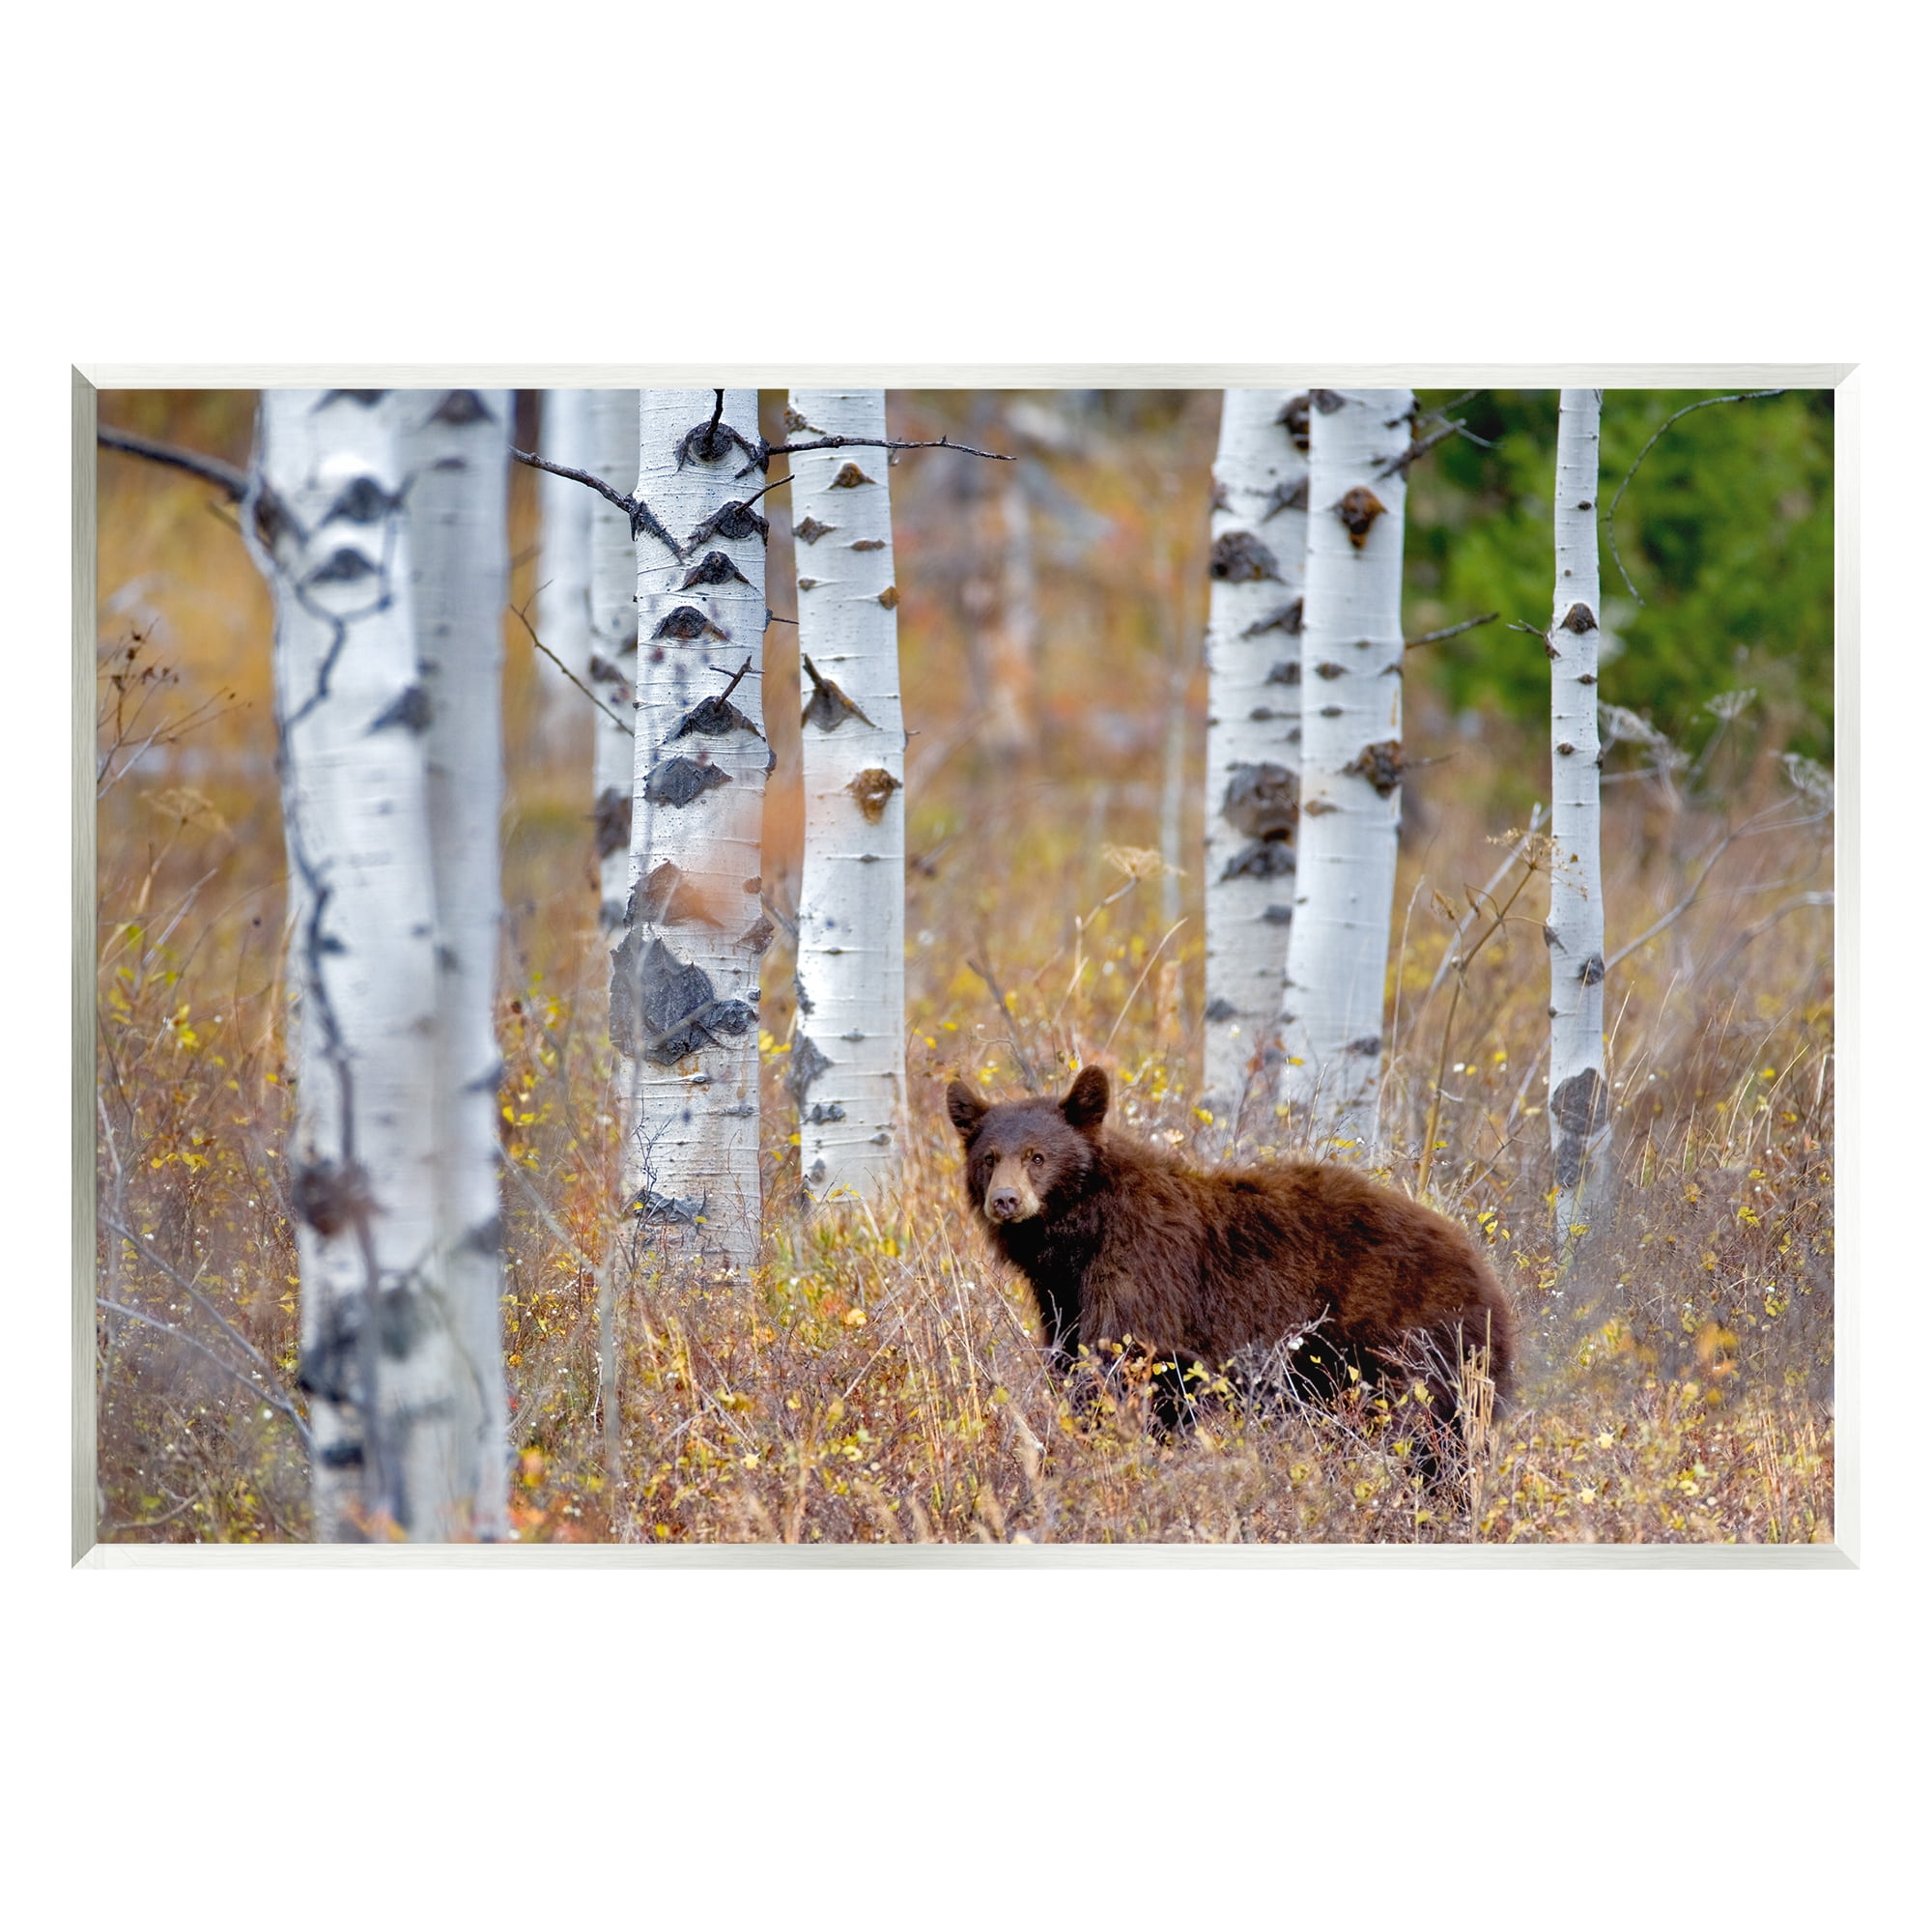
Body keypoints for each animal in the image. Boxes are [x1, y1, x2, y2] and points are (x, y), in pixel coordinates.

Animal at [945, 1064, 1515, 1465]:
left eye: (1037, 1157)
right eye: (989, 1158)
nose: (1005, 1201)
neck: (1082, 1234)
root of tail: (1483, 1272)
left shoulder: (1144, 1275)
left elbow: (1124, 1364)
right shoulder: (1062, 1297)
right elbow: (1076, 1361)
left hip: (1408, 1342)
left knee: (1420, 1430)